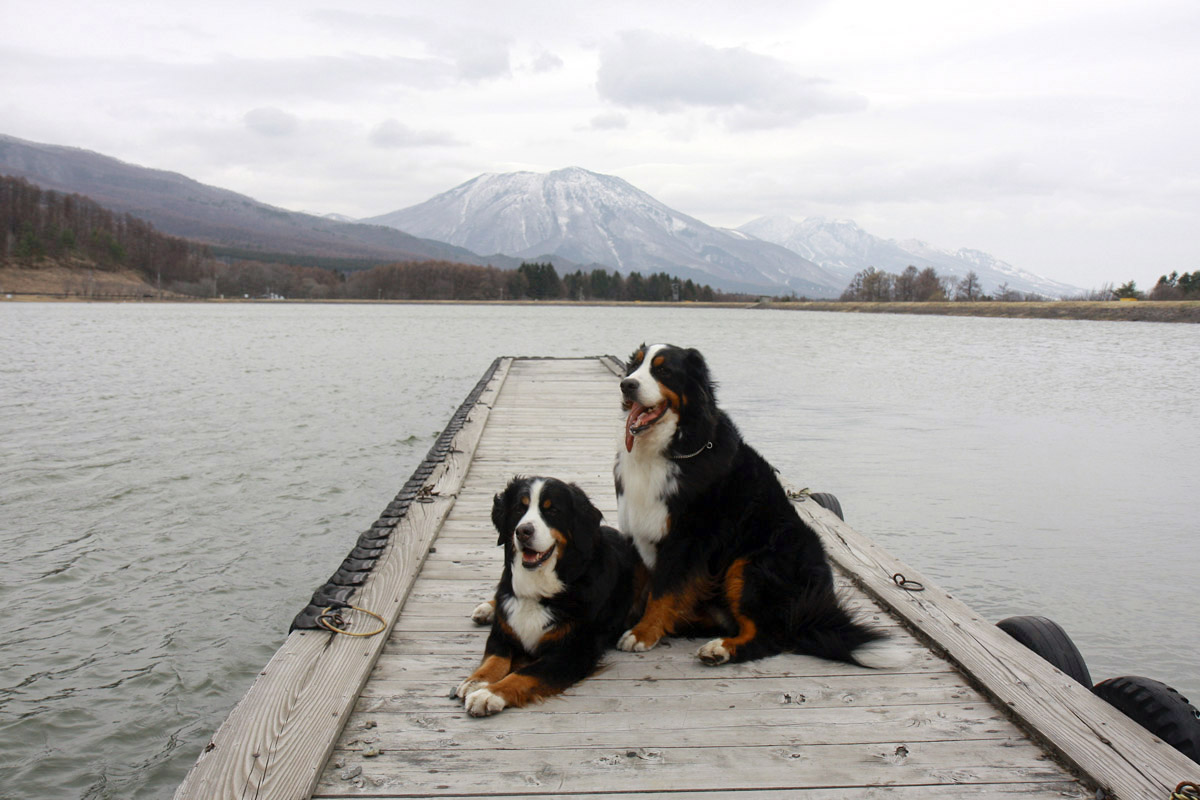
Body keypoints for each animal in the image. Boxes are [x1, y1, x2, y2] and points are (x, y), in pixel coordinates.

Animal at [451, 474, 638, 719]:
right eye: (519, 508)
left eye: (552, 510)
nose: (523, 531)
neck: (539, 590)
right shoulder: (502, 633)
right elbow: (494, 659)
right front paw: (475, 681)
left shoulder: (571, 652)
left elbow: (524, 674)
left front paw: (489, 694)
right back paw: (487, 608)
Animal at [614, 345, 897, 671]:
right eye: (633, 367)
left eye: (663, 370)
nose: (626, 385)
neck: (669, 450)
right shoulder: (636, 529)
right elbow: (638, 584)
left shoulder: (686, 538)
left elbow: (664, 591)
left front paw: (643, 633)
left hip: (753, 562)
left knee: (769, 635)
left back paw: (720, 649)